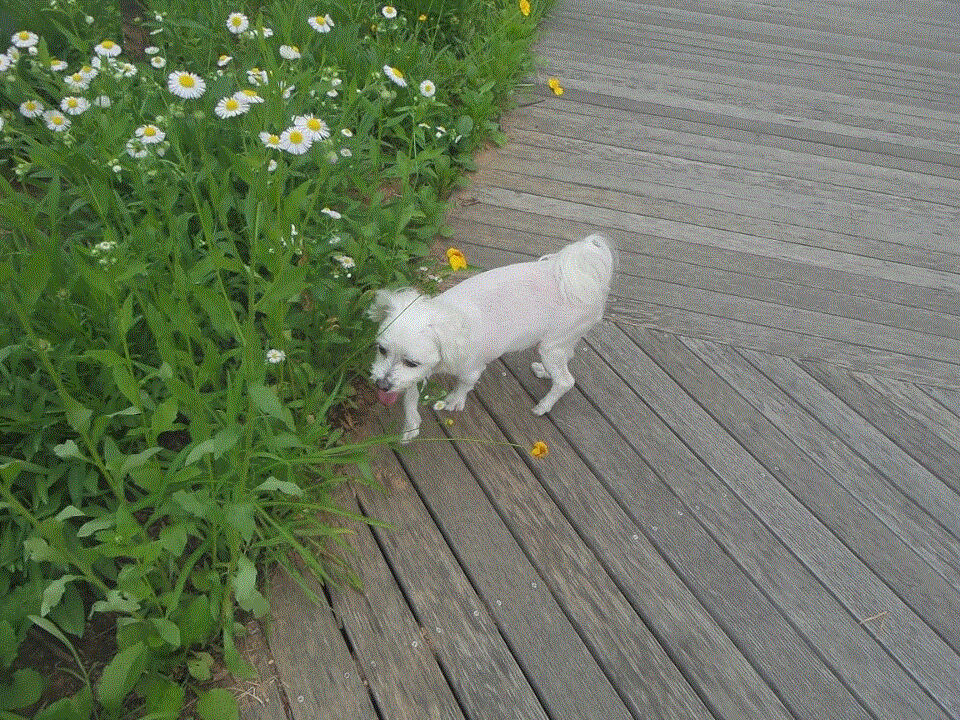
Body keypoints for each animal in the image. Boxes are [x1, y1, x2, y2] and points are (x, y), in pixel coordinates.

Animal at [368, 234, 615, 442]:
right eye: (381, 350)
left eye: (411, 362)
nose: (381, 384)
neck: (447, 316)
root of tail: (583, 278)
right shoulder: (415, 374)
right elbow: (409, 398)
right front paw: (410, 426)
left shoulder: (470, 369)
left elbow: (464, 385)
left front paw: (454, 400)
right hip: (561, 342)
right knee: (566, 360)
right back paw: (545, 372)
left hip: (552, 347)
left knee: (565, 381)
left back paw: (543, 406)